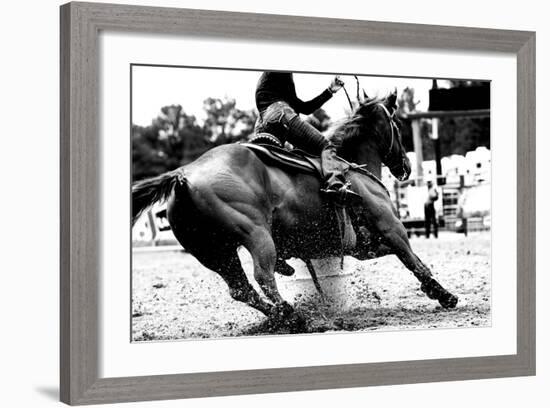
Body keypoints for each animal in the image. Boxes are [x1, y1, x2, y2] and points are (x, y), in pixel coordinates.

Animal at [132, 91, 460, 328]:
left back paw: (285, 316)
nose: (405, 167)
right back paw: (291, 315)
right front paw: (444, 295)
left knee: (241, 289)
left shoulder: (363, 245)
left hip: (214, 253)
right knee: (263, 277)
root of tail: (183, 175)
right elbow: (415, 262)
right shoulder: (392, 228)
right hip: (257, 236)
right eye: (397, 126)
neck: (352, 167)